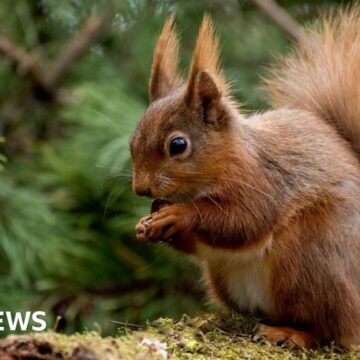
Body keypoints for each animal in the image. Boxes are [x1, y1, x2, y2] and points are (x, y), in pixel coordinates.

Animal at [131, 9, 360, 350]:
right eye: (132, 140)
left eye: (178, 145)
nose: (141, 188)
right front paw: (150, 223)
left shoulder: (261, 181)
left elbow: (244, 220)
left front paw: (178, 215)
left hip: (314, 256)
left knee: (330, 328)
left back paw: (289, 333)